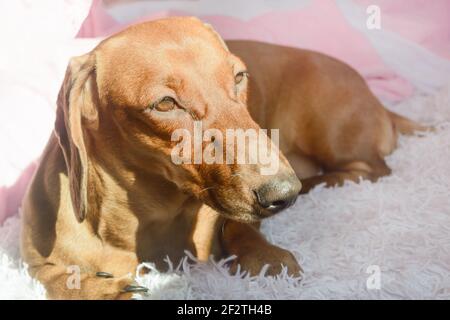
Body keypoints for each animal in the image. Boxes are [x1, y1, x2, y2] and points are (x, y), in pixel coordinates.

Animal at [20, 17, 422, 298]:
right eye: (165, 103)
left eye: (240, 76)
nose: (283, 194)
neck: (152, 215)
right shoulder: (36, 263)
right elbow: (55, 277)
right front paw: (102, 289)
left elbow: (240, 228)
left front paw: (266, 257)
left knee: (371, 169)